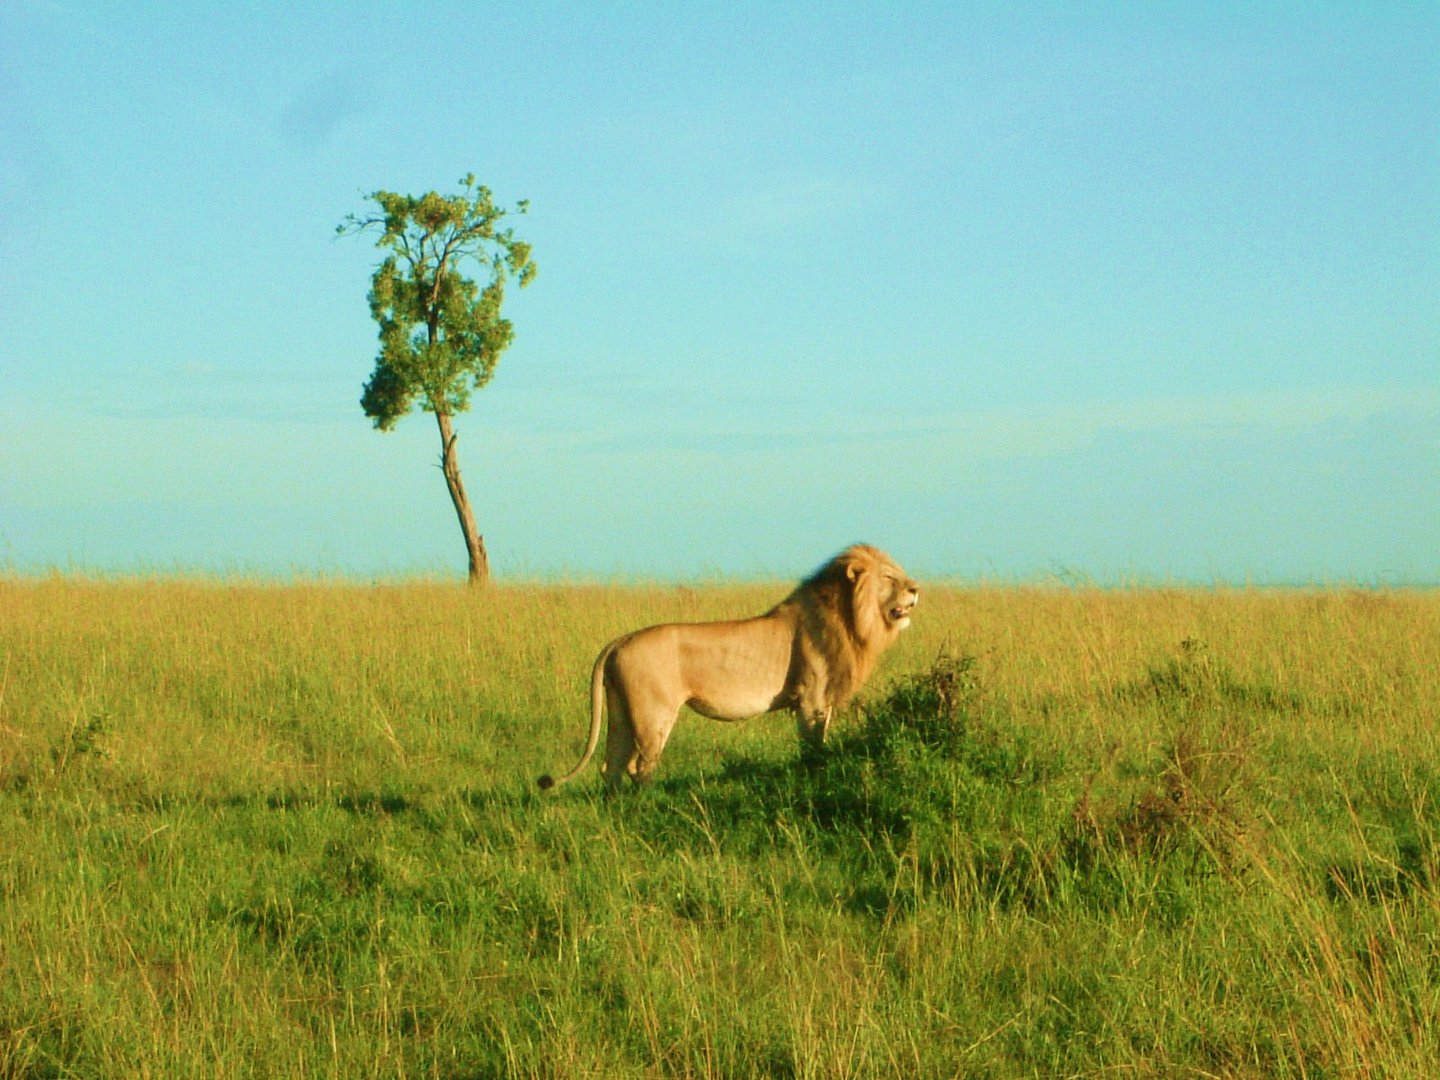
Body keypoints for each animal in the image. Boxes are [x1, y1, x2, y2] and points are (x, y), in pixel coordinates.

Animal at [535, 550, 915, 794]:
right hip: (653, 712)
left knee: (611, 765)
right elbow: (813, 748)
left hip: (619, 711)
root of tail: (619, 640)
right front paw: (814, 777)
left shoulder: (824, 701)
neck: (851, 617)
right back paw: (649, 803)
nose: (915, 589)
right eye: (889, 577)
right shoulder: (810, 700)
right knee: (638, 766)